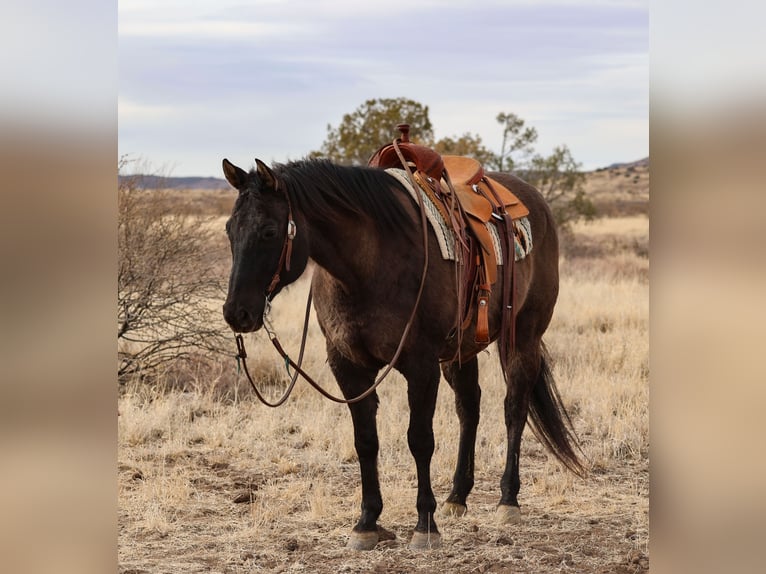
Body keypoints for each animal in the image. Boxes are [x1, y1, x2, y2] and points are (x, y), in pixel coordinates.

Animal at [222, 155, 588, 552]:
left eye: (269, 231)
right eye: (230, 231)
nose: (236, 313)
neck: (367, 265)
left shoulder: (421, 365)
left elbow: (420, 440)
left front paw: (425, 524)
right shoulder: (348, 367)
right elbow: (366, 441)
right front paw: (367, 523)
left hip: (523, 337)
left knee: (514, 409)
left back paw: (508, 500)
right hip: (460, 352)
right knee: (469, 409)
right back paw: (457, 497)